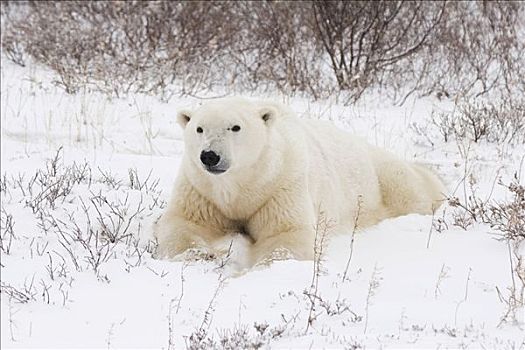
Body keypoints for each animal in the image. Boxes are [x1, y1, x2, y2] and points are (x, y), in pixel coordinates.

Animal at [154, 97, 444, 266]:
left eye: (235, 127)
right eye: (199, 128)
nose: (210, 156)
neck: (244, 185)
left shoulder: (279, 185)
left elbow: (286, 233)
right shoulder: (201, 190)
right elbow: (184, 224)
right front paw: (202, 254)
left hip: (382, 176)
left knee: (411, 189)